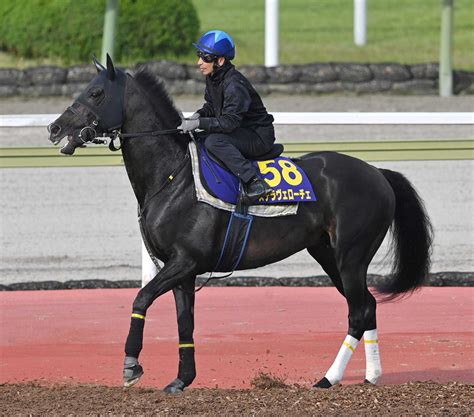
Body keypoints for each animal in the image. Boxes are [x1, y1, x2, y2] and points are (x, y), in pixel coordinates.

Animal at [49, 57, 434, 392]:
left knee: (358, 311)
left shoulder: (184, 261)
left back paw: (329, 378)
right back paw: (371, 375)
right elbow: (184, 322)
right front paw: (182, 379)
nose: (55, 128)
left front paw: (131, 365)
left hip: (351, 256)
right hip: (328, 254)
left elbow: (141, 298)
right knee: (367, 306)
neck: (172, 176)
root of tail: (378, 174)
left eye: (95, 93)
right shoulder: (182, 270)